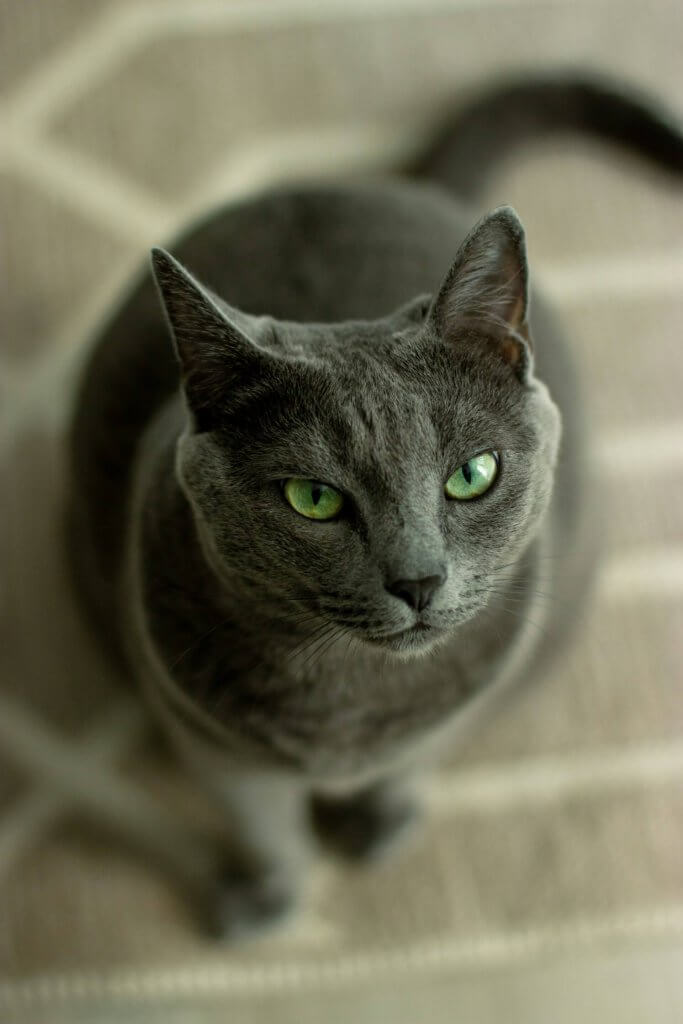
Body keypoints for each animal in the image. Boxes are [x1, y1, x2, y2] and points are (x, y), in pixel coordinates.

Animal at [65, 72, 683, 937]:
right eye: (313, 498)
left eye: (472, 474)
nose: (418, 582)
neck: (349, 703)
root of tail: (408, 185)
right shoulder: (208, 740)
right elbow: (262, 823)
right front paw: (266, 897)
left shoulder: (459, 705)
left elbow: (412, 762)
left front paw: (378, 823)